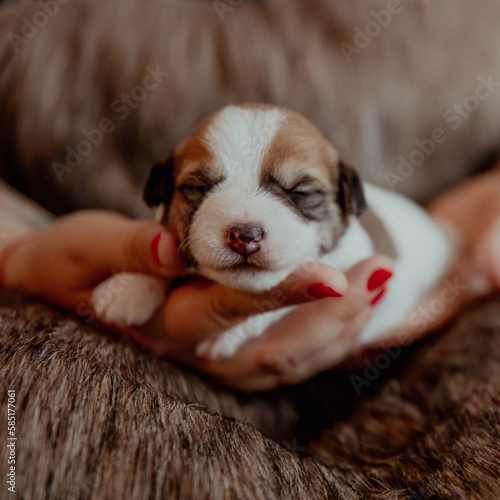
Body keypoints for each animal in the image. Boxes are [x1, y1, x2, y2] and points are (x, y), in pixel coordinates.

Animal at [91, 102, 454, 360]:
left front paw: (227, 334)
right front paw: (128, 288)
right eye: (200, 187)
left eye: (299, 192)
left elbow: (280, 303)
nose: (244, 236)